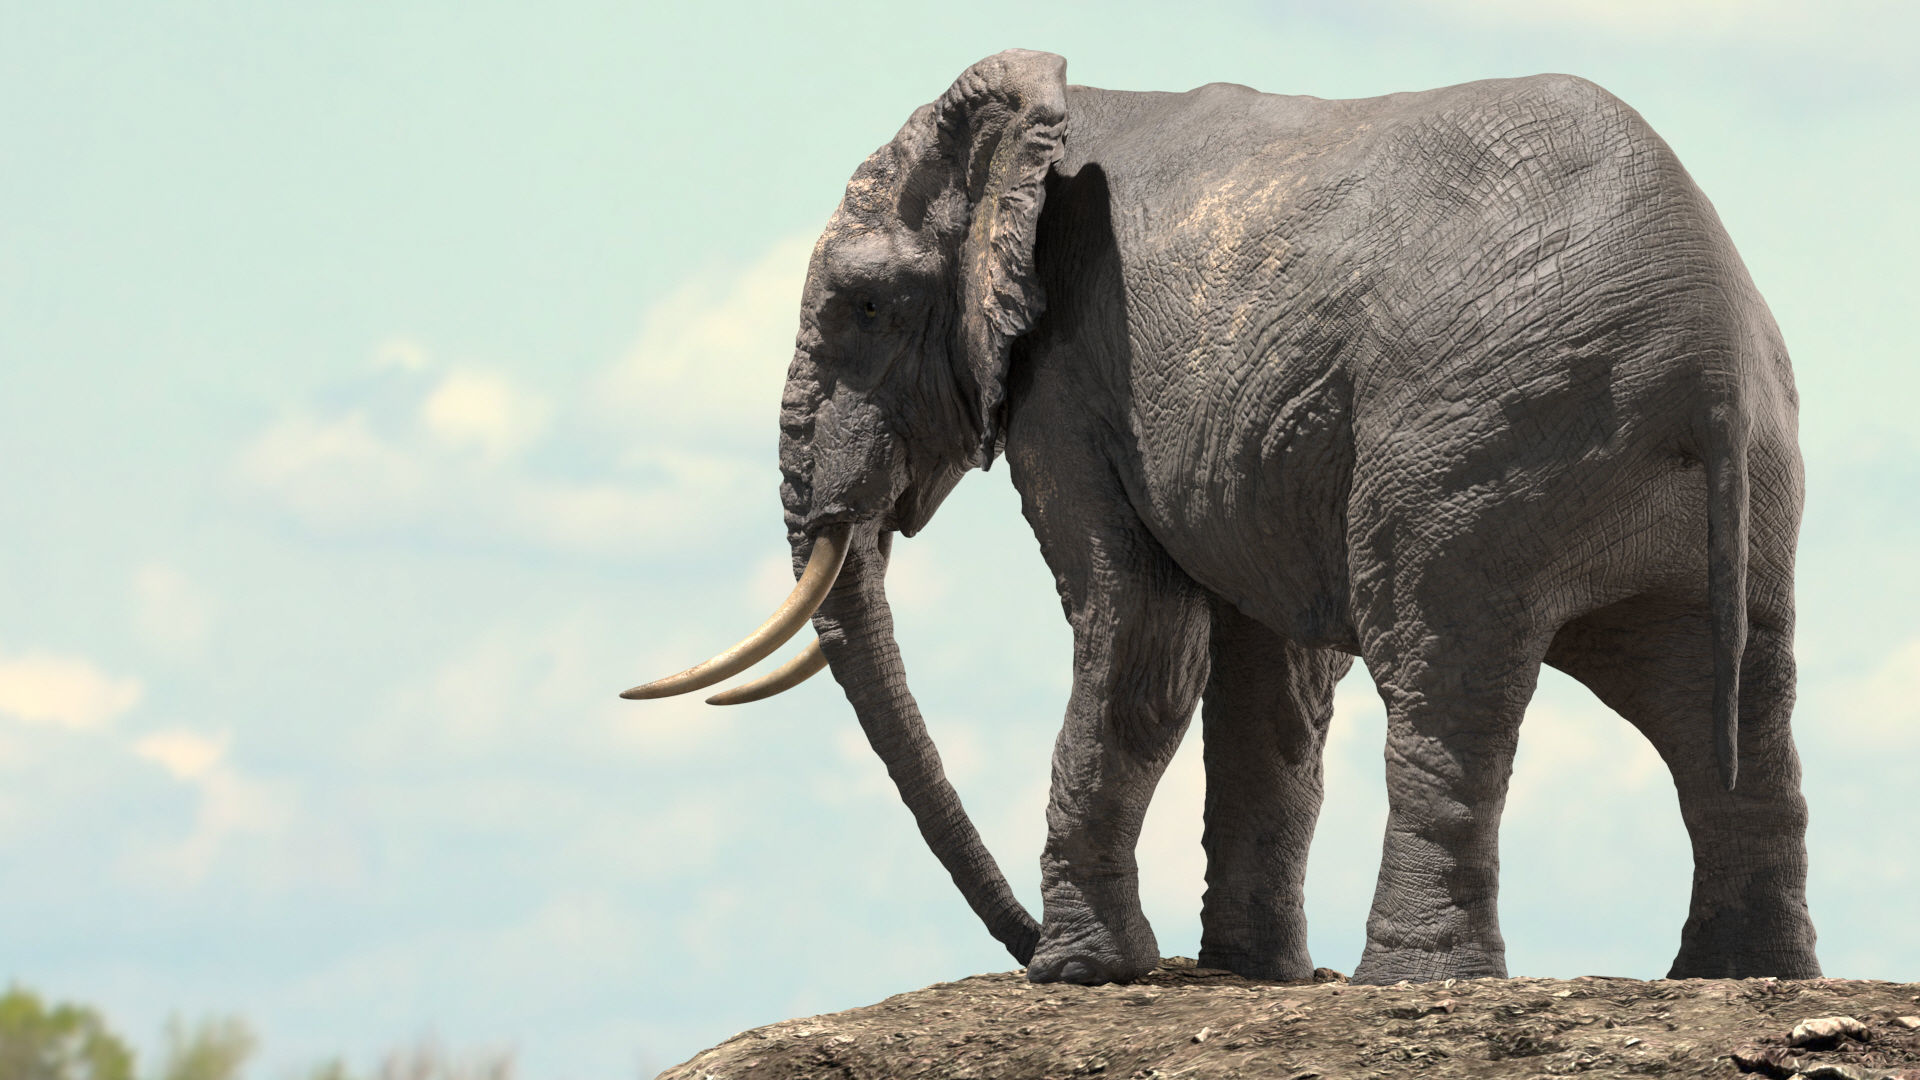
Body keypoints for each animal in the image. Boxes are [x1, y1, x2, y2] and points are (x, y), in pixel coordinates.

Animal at [628, 49, 1819, 987]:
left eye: (864, 306)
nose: (1017, 944)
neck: (1040, 131)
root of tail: (1707, 348)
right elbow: (1274, 681)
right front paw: (1250, 974)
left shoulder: (1073, 370)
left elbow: (1143, 633)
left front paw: (1083, 977)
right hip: (1727, 480)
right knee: (1731, 698)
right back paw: (1742, 973)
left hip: (1476, 444)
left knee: (1444, 677)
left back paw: (1409, 982)